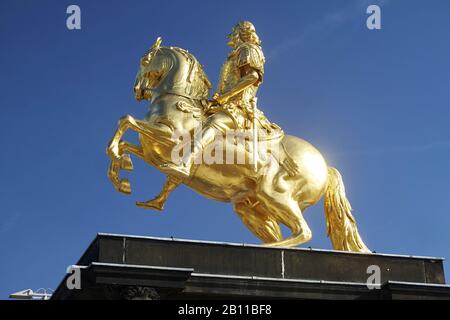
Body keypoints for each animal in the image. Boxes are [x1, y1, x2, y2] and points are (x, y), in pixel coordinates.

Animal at [107, 38, 370, 252]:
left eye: (145, 60)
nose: (137, 90)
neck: (178, 101)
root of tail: (326, 166)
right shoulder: (152, 153)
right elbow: (127, 144)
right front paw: (123, 177)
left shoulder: (169, 139)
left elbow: (126, 120)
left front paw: (122, 164)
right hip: (251, 207)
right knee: (285, 231)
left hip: (275, 195)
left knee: (303, 231)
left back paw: (263, 248)